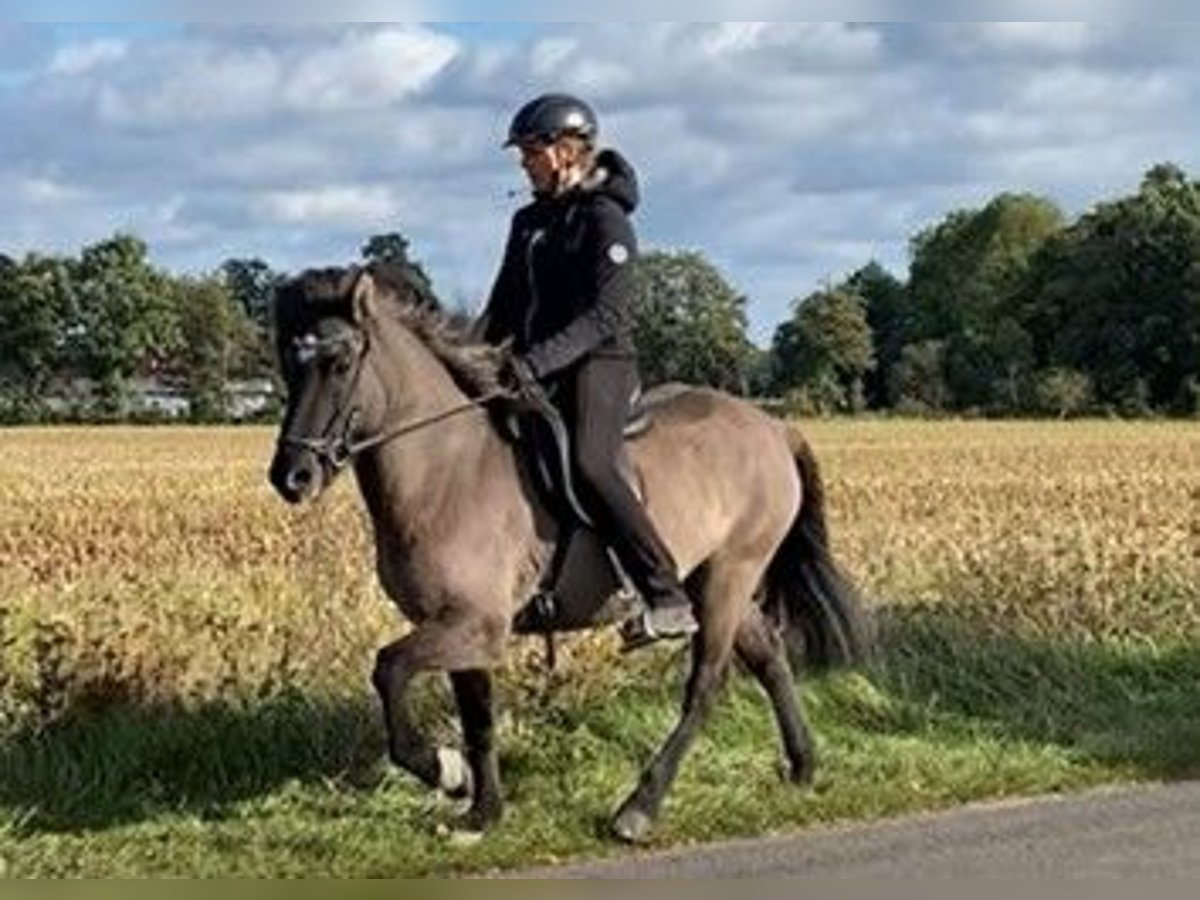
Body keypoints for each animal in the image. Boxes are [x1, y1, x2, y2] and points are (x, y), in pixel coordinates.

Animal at [267, 262, 873, 844]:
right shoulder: (464, 625)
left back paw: (639, 809)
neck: (446, 471)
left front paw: (444, 770)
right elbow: (477, 718)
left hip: (731, 574)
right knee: (770, 658)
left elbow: (388, 669)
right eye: (290, 367)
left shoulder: (474, 623)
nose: (291, 477)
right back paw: (802, 766)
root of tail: (772, 425)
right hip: (718, 579)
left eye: (340, 362)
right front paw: (481, 813)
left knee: (705, 687)